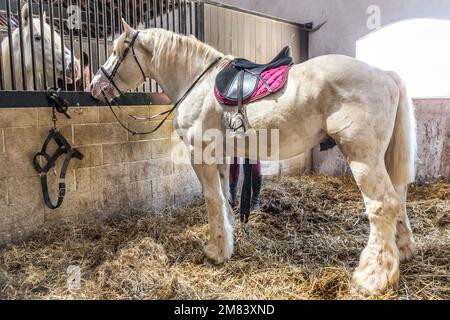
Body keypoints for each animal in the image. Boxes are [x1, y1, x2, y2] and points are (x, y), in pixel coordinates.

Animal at [89, 20, 416, 296]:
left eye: (117, 52)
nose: (94, 87)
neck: (197, 83)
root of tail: (384, 75)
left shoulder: (201, 156)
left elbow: (212, 200)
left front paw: (215, 252)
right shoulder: (221, 157)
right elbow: (224, 199)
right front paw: (226, 243)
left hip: (363, 158)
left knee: (382, 205)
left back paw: (372, 277)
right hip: (382, 159)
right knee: (398, 199)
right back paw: (402, 250)